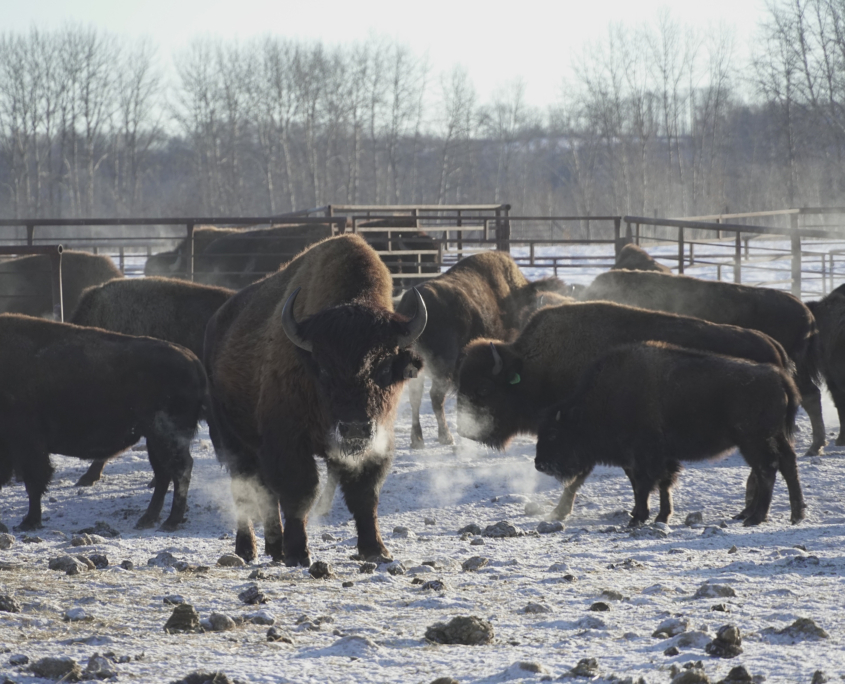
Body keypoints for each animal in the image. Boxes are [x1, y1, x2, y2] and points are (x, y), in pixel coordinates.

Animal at [0, 314, 206, 531]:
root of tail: (193, 360)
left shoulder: (27, 444)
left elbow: (34, 482)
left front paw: (29, 522)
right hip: (153, 439)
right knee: (163, 474)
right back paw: (147, 519)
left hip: (165, 437)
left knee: (180, 469)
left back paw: (170, 522)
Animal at [204, 234, 426, 566]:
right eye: (322, 368)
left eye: (386, 366)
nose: (355, 428)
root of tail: (217, 323)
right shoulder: (287, 442)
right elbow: (300, 492)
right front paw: (298, 554)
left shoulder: (378, 442)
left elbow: (365, 495)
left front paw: (376, 550)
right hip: (231, 440)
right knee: (244, 489)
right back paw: (248, 548)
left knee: (264, 492)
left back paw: (274, 548)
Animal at [535, 342, 805, 527]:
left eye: (553, 434)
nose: (539, 464)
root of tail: (777, 375)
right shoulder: (656, 458)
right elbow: (662, 484)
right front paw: (661, 516)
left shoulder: (644, 456)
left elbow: (644, 485)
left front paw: (638, 518)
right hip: (773, 438)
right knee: (787, 464)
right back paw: (794, 514)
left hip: (753, 441)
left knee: (767, 469)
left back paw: (755, 517)